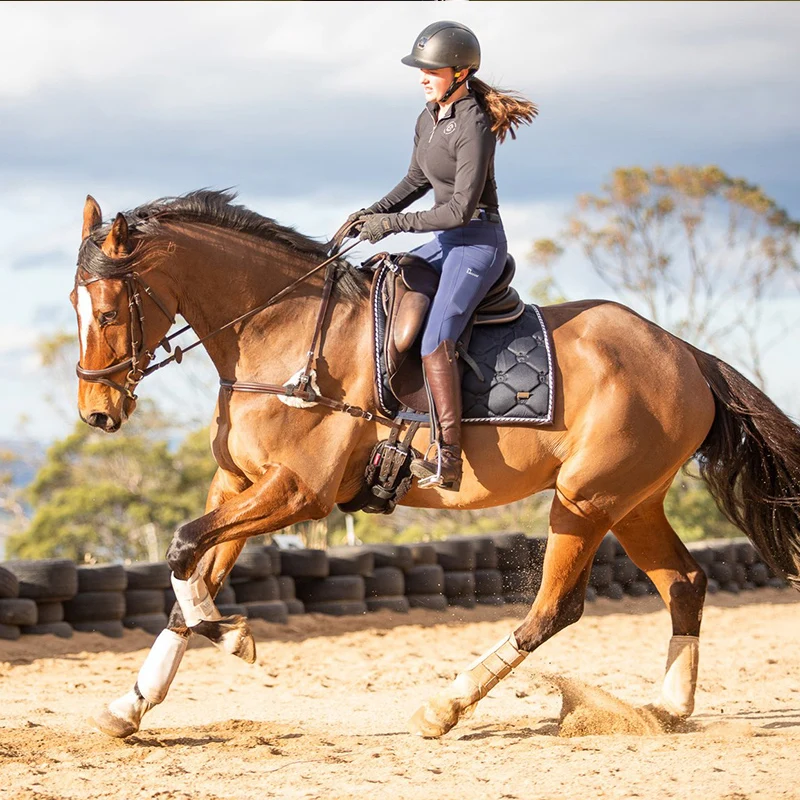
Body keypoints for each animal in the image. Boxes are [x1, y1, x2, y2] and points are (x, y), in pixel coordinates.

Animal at [70, 189, 800, 736]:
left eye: (106, 311)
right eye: (76, 306)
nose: (96, 412)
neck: (281, 335)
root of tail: (684, 353)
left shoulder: (297, 491)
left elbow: (183, 547)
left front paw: (230, 637)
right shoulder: (240, 483)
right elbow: (189, 572)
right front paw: (131, 704)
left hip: (586, 501)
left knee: (555, 609)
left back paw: (444, 707)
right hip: (633, 503)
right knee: (684, 582)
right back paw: (668, 708)